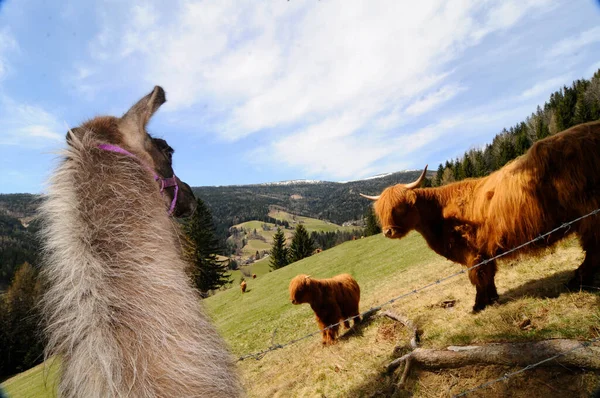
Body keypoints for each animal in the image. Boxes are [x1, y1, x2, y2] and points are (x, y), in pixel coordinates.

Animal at [360, 119, 600, 312]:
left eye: (400, 208)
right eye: (381, 212)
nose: (388, 231)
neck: (439, 216)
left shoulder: (472, 252)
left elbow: (478, 277)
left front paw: (478, 305)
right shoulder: (485, 251)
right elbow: (488, 275)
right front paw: (492, 299)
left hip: (589, 212)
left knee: (592, 247)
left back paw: (578, 280)